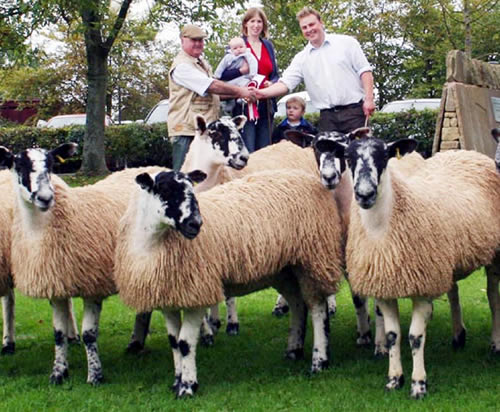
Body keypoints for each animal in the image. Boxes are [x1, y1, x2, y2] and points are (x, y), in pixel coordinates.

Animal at [114, 167, 346, 400]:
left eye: (192, 188)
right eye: (164, 189)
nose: (195, 224)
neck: (152, 243)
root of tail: (309, 178)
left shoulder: (198, 292)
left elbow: (185, 343)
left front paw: (188, 387)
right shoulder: (167, 297)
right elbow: (173, 343)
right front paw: (177, 381)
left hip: (313, 257)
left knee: (317, 308)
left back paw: (319, 362)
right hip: (284, 269)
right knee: (298, 304)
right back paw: (293, 350)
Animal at [320, 136, 500, 400]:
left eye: (384, 157)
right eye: (349, 158)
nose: (365, 194)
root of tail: (465, 153)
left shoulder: (422, 288)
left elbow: (415, 337)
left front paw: (418, 384)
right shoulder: (386, 289)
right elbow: (393, 336)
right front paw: (394, 379)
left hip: (494, 255)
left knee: (493, 298)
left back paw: (496, 343)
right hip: (443, 261)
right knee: (454, 292)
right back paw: (458, 336)